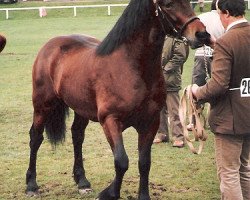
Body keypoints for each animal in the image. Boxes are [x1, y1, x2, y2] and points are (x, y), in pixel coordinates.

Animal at [26, 0, 211, 198]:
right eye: (168, 4)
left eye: (189, 2)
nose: (202, 34)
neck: (132, 66)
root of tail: (50, 46)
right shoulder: (110, 120)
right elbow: (121, 161)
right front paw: (110, 193)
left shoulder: (150, 122)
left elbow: (144, 163)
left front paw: (142, 195)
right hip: (42, 106)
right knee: (35, 138)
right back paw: (31, 185)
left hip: (81, 109)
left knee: (77, 136)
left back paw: (82, 181)